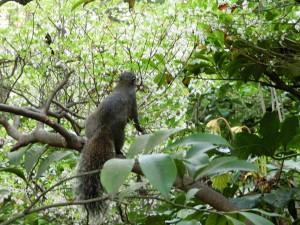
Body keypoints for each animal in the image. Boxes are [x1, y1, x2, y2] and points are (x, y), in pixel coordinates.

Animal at [74, 71, 144, 216]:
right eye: (131, 74)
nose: (135, 75)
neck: (123, 84)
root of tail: (103, 129)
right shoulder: (133, 98)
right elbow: (134, 116)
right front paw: (139, 128)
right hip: (121, 134)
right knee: (118, 144)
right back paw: (119, 151)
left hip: (90, 123)